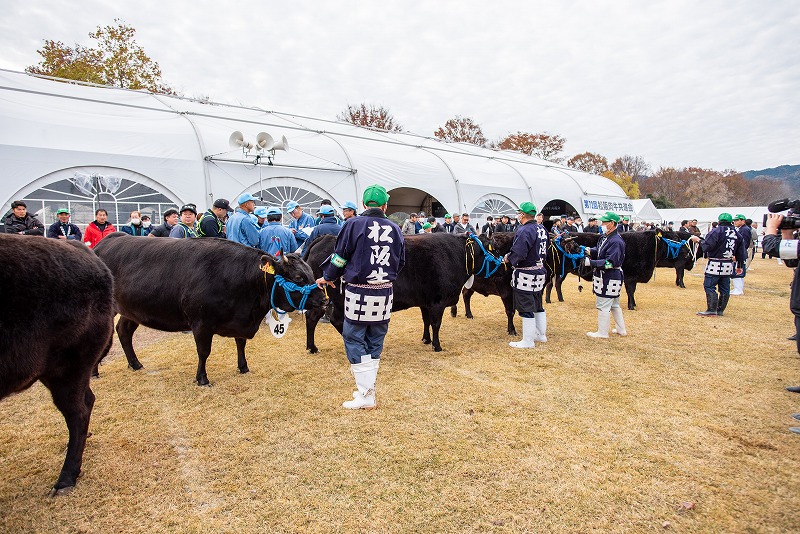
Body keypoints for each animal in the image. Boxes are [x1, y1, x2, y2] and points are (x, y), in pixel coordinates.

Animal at [92, 233, 320, 386]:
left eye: (310, 271)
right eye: (298, 277)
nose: (324, 298)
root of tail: (107, 241)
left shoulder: (241, 320)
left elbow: (241, 344)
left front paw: (243, 367)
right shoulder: (201, 323)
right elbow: (204, 351)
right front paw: (202, 378)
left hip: (132, 310)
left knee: (124, 331)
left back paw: (135, 363)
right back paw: (94, 371)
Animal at [304, 233, 504, 352]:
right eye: (494, 248)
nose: (504, 264)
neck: (456, 256)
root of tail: (326, 237)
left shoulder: (425, 301)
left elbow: (426, 321)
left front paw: (426, 339)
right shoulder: (437, 301)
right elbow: (436, 324)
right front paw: (437, 346)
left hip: (321, 299)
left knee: (312, 317)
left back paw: (312, 347)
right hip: (339, 300)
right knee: (336, 320)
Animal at [544, 229, 692, 310]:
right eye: (675, 238)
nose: (688, 252)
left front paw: (634, 304)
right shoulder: (630, 276)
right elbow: (631, 291)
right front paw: (631, 306)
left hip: (560, 271)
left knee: (554, 284)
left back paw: (557, 299)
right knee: (553, 284)